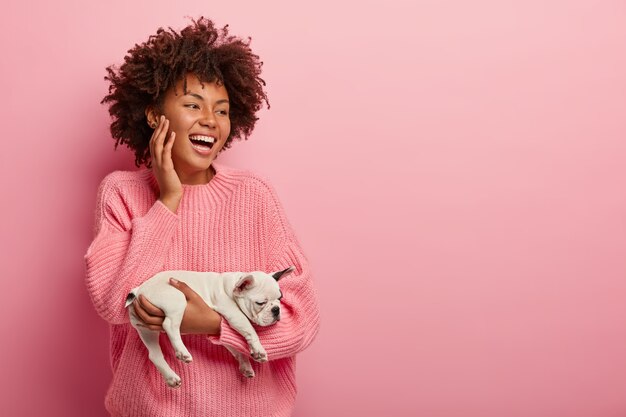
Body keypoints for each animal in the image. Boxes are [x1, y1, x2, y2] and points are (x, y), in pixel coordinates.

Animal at [126, 266, 294, 386]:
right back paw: (182, 352)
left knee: (154, 354)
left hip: (146, 330)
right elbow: (250, 330)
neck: (232, 287)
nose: (276, 309)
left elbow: (234, 348)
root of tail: (139, 290)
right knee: (170, 325)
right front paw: (259, 350)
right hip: (176, 300)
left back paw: (171, 378)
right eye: (260, 303)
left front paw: (245, 365)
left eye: (280, 298)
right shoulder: (234, 313)